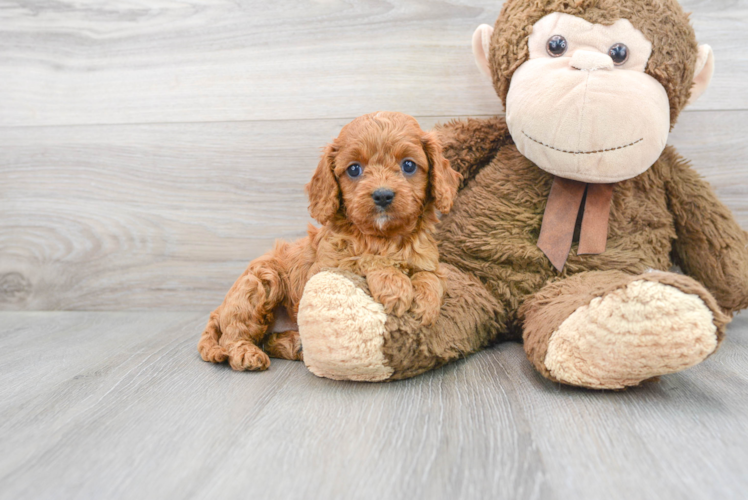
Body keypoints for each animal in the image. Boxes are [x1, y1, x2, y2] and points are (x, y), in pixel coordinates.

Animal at [199, 113, 462, 372]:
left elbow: (431, 276)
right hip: (260, 283)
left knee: (268, 340)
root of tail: (220, 309)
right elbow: (365, 259)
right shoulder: (326, 267)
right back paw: (247, 354)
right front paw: (394, 286)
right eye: (354, 169)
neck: (383, 238)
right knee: (234, 335)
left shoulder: (428, 260)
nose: (382, 195)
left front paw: (426, 303)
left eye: (408, 165)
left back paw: (294, 345)